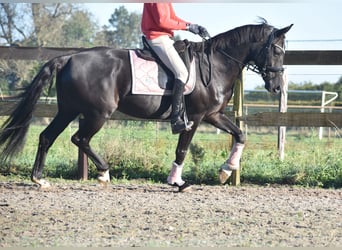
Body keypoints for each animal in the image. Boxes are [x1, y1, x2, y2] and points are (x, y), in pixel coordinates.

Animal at [0, 22, 292, 189]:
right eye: (277, 51)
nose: (277, 88)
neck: (217, 63)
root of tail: (68, 57)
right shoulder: (196, 117)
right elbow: (182, 149)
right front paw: (177, 181)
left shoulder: (214, 114)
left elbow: (240, 134)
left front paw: (225, 171)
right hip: (97, 113)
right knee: (79, 138)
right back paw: (104, 172)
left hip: (69, 110)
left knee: (47, 136)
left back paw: (39, 179)